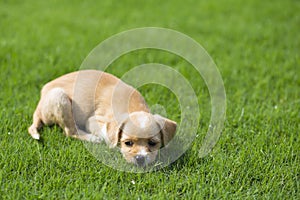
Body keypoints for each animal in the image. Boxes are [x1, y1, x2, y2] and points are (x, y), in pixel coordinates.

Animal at [28, 69, 176, 166]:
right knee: (70, 131)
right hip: (60, 97)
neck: (133, 108)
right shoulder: (92, 121)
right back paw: (92, 138)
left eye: (152, 143)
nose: (140, 159)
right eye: (128, 143)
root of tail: (39, 106)